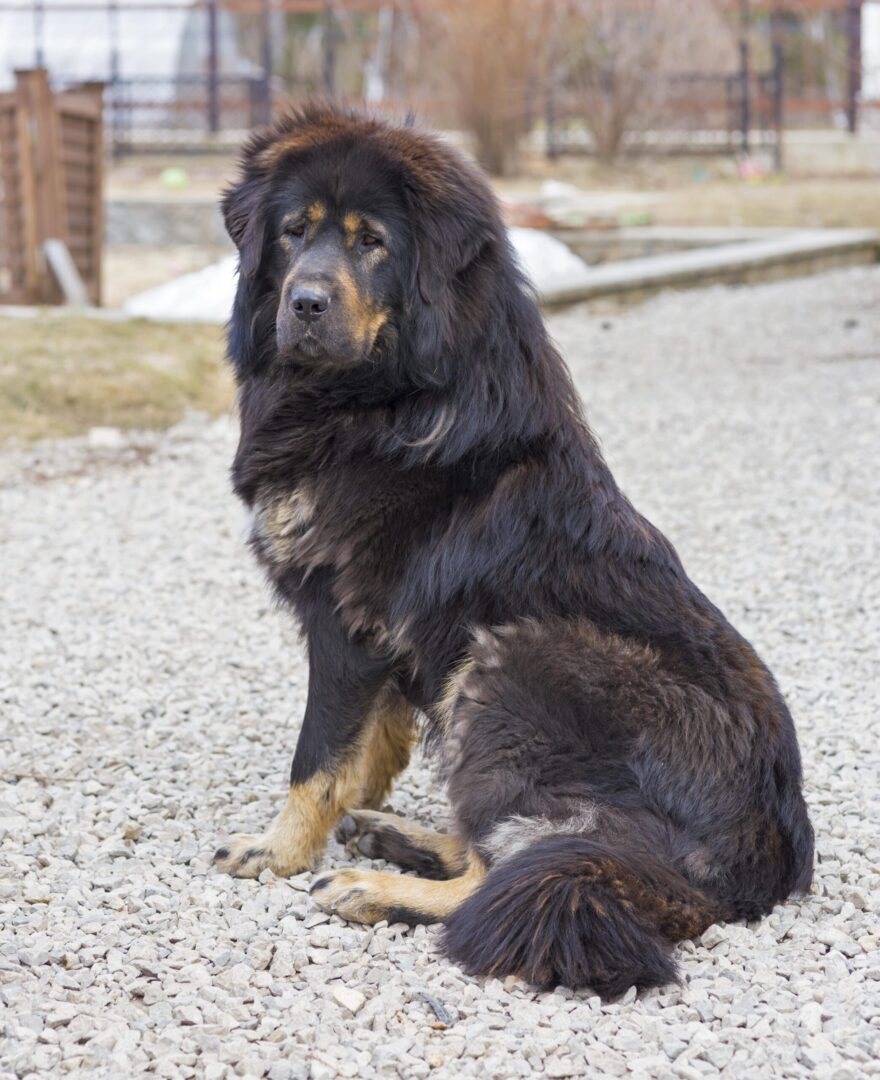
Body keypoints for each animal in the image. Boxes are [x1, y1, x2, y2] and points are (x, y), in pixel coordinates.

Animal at [211, 103, 811, 993]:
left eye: (372, 242)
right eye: (293, 232)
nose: (306, 301)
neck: (393, 392)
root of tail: (755, 866)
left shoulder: (346, 621)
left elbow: (315, 757)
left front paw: (279, 850)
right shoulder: (385, 636)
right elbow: (370, 741)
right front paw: (355, 801)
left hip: (512, 659)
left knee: (507, 872)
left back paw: (374, 885)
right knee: (506, 844)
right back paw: (399, 839)